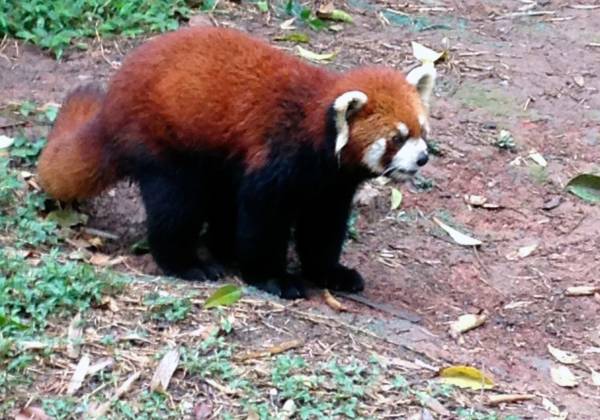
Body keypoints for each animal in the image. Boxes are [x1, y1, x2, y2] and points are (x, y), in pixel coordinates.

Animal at [37, 27, 434, 298]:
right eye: (397, 138)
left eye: (421, 131)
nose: (423, 158)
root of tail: (110, 107)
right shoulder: (278, 158)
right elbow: (262, 219)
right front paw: (274, 277)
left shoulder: (330, 186)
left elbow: (322, 229)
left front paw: (330, 273)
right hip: (161, 143)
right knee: (175, 206)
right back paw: (188, 263)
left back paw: (223, 249)